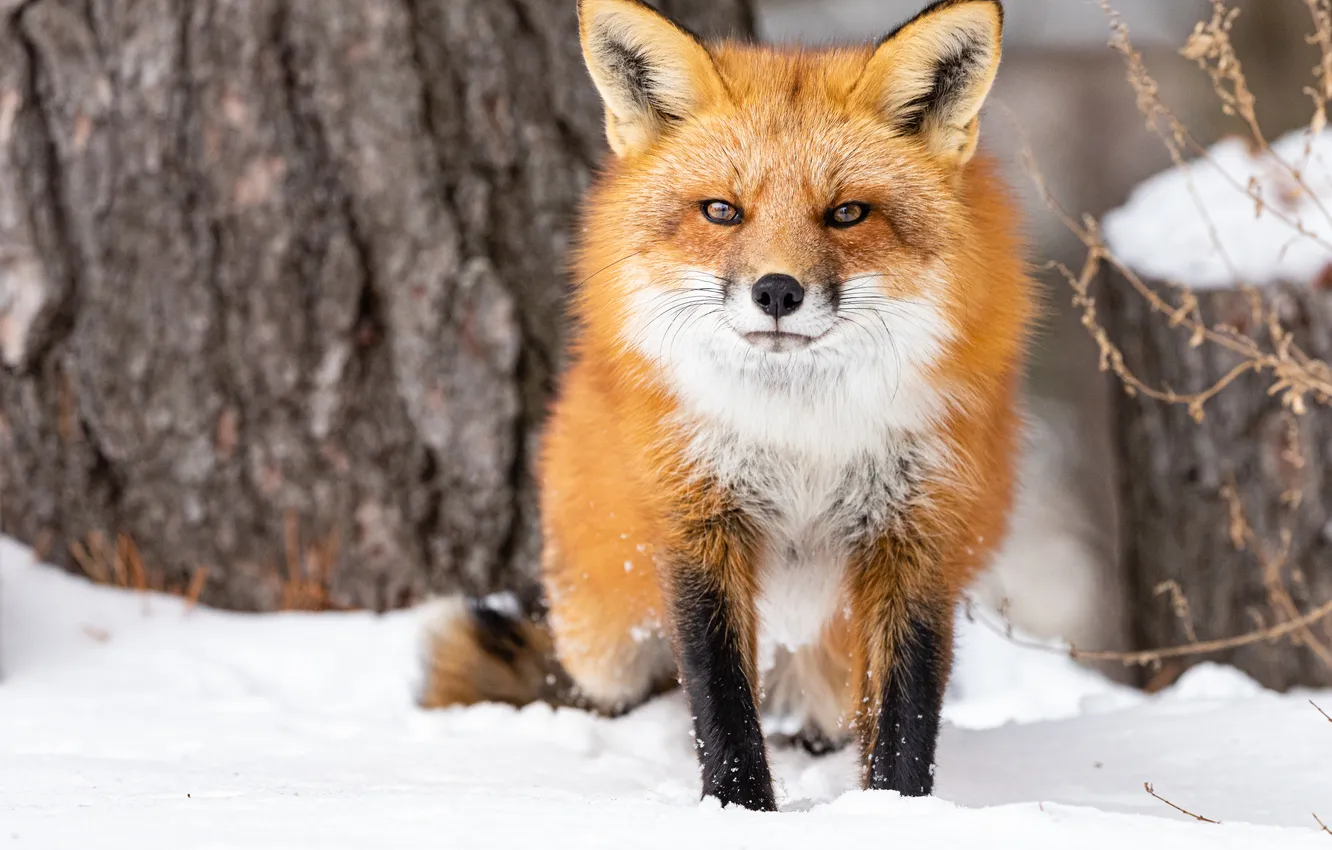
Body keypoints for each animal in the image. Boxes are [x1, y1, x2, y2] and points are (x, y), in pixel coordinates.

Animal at [421, 0, 1033, 812]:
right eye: (721, 211)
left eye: (847, 213)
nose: (777, 291)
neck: (802, 434)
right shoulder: (697, 519)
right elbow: (720, 700)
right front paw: (739, 811)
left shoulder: (920, 533)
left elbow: (905, 719)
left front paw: (894, 814)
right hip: (599, 637)